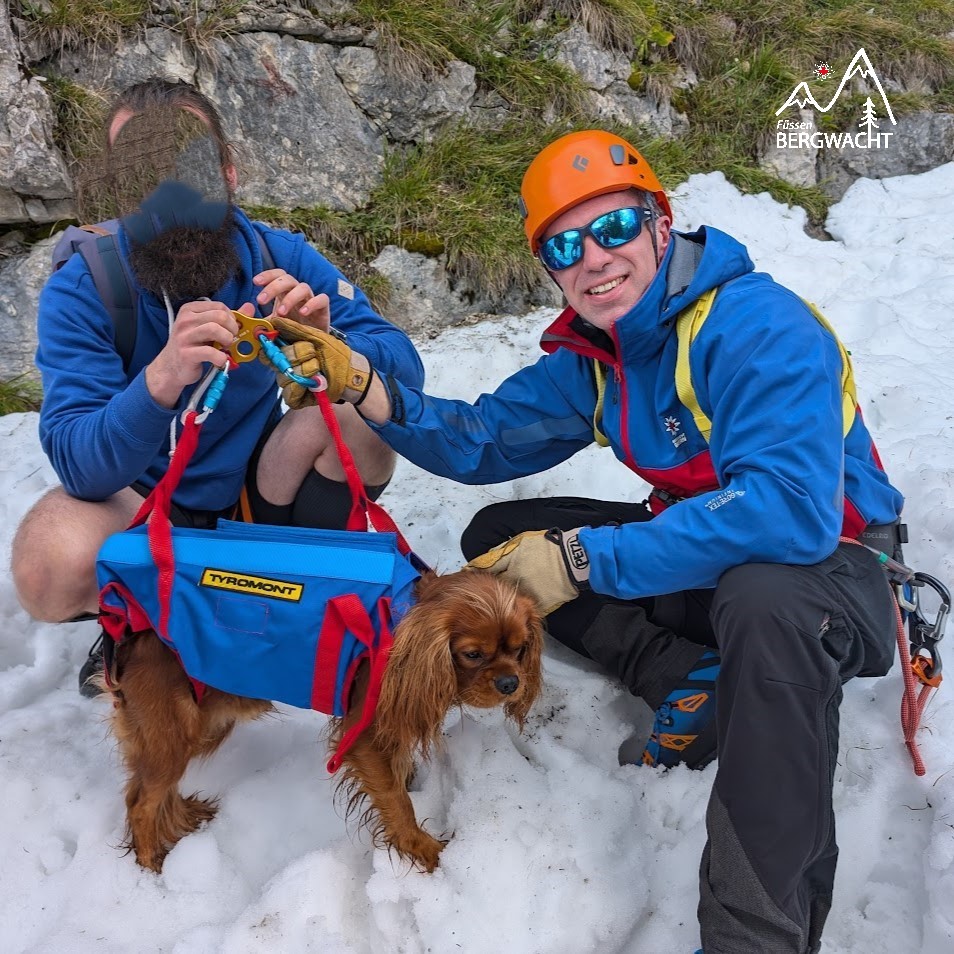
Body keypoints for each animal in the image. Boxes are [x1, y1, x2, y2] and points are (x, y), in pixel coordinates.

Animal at [103, 564, 544, 872]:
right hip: (175, 732)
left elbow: (396, 772)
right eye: (472, 654)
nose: (510, 682)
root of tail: (127, 635)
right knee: (139, 803)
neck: (401, 623)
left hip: (198, 726)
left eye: (520, 648)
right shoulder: (363, 737)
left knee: (142, 789)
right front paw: (425, 850)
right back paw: (151, 866)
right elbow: (396, 802)